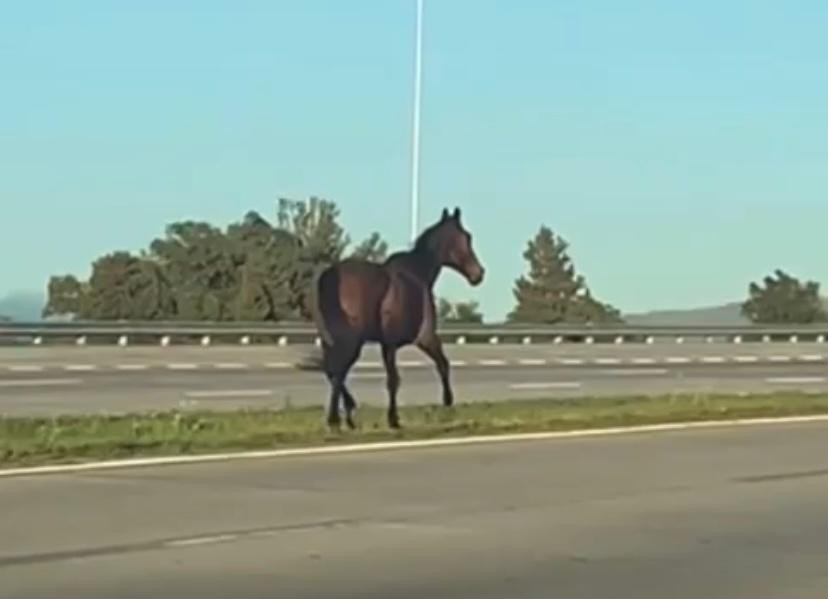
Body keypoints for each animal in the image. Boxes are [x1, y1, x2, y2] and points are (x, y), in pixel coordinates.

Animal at [311, 207, 485, 430]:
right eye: (466, 237)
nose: (478, 274)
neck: (418, 273)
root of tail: (329, 276)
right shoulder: (423, 337)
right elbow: (436, 366)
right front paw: (442, 404)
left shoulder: (387, 344)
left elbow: (394, 378)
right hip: (350, 340)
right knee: (337, 371)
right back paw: (336, 418)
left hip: (331, 339)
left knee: (332, 371)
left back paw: (347, 413)